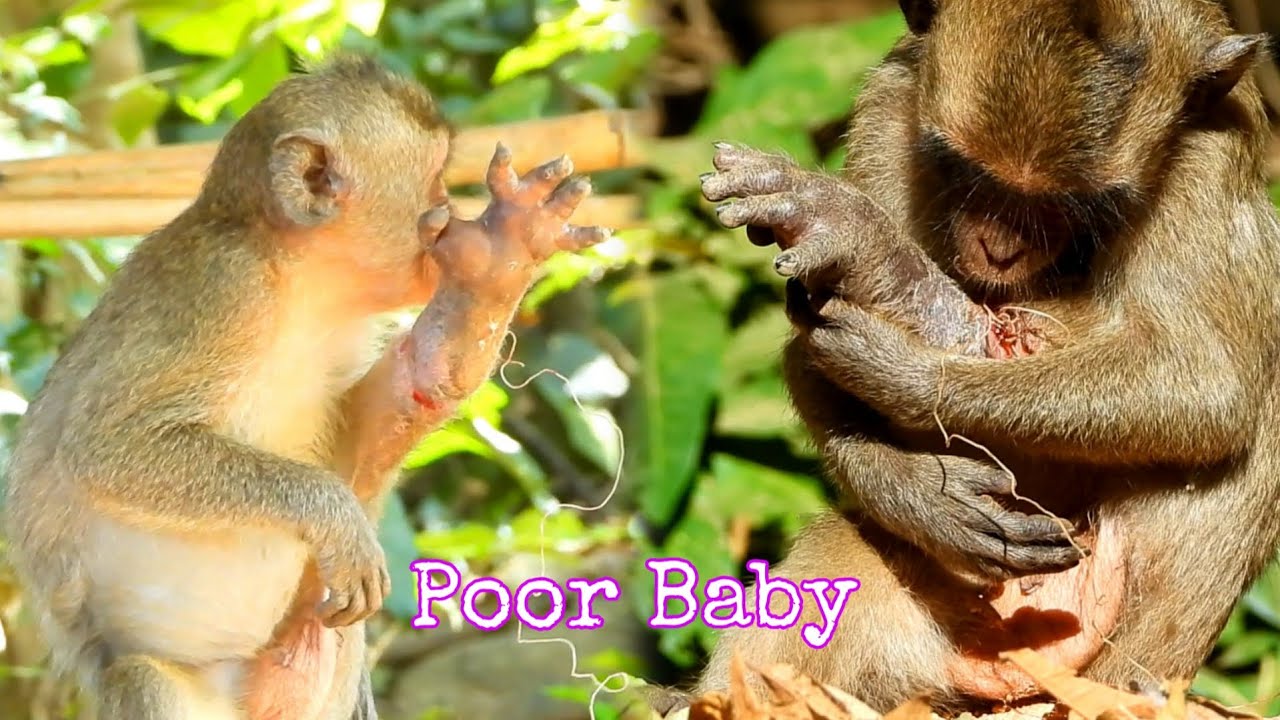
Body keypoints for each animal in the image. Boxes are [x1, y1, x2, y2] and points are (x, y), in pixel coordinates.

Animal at [2, 54, 608, 720]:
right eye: (434, 183)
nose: (449, 208)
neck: (298, 276)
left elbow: (399, 401)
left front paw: (494, 266)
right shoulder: (222, 288)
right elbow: (106, 447)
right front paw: (334, 516)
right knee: (143, 678)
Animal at [690, 0, 1280, 712]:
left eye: (1074, 205)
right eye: (966, 173)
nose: (999, 250)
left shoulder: (1210, 156)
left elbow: (1207, 388)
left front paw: (909, 355)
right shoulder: (889, 105)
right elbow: (807, 354)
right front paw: (919, 492)